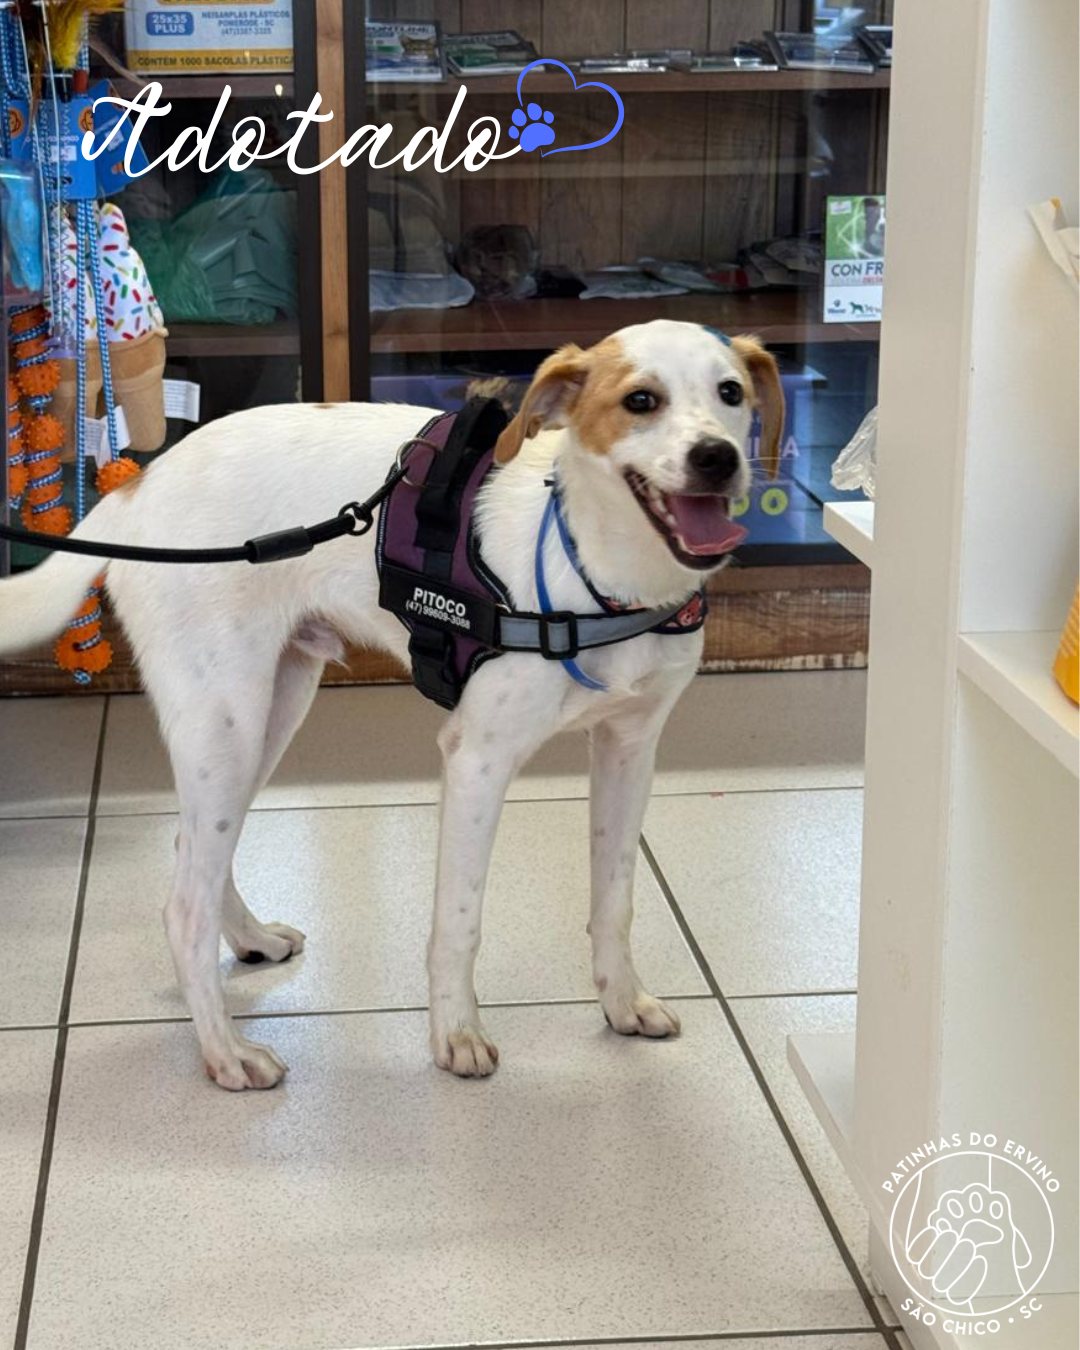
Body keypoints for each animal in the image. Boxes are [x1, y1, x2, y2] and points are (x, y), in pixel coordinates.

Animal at [0, 320, 782, 1090]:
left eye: (730, 393)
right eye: (640, 401)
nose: (716, 458)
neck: (593, 570)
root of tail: (138, 485)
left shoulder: (629, 750)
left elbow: (615, 901)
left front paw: (622, 1001)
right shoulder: (477, 760)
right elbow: (459, 922)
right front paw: (456, 1034)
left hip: (268, 711)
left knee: (195, 853)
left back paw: (250, 942)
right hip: (226, 723)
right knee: (183, 903)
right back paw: (226, 1053)